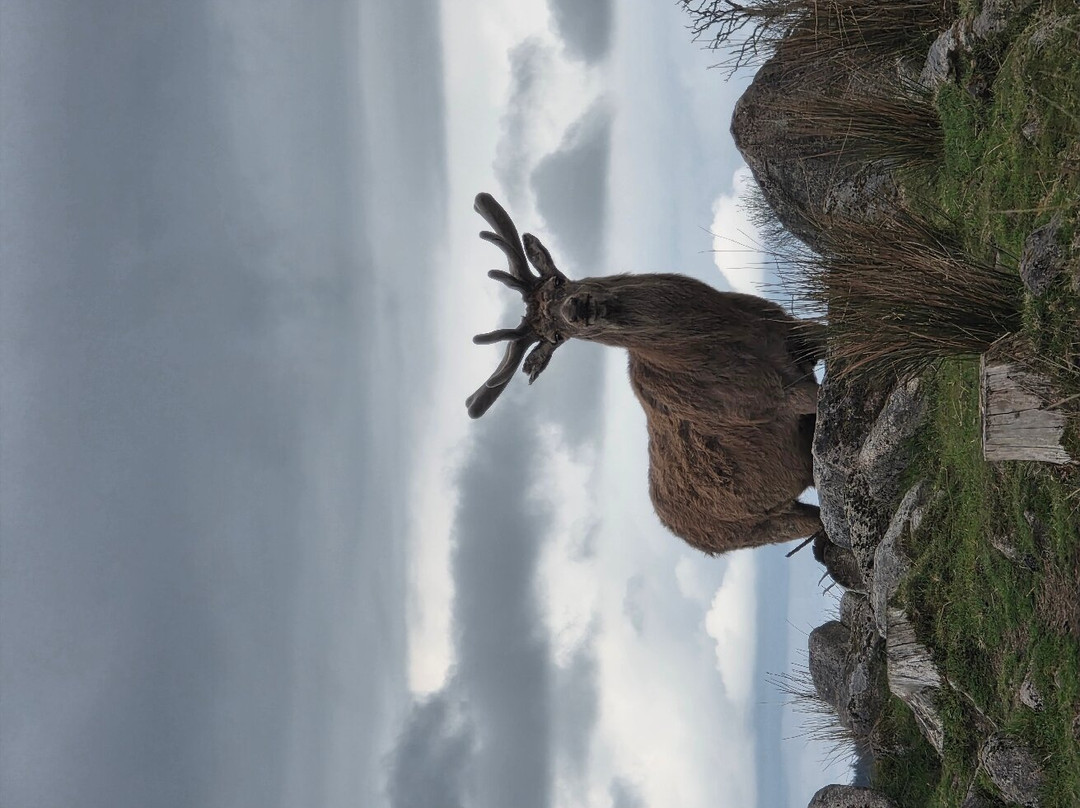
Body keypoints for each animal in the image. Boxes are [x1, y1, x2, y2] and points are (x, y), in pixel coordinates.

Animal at [466, 192, 826, 554]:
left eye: (559, 281)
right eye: (554, 335)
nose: (576, 308)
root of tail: (689, 536)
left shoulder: (796, 332)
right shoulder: (777, 397)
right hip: (763, 525)